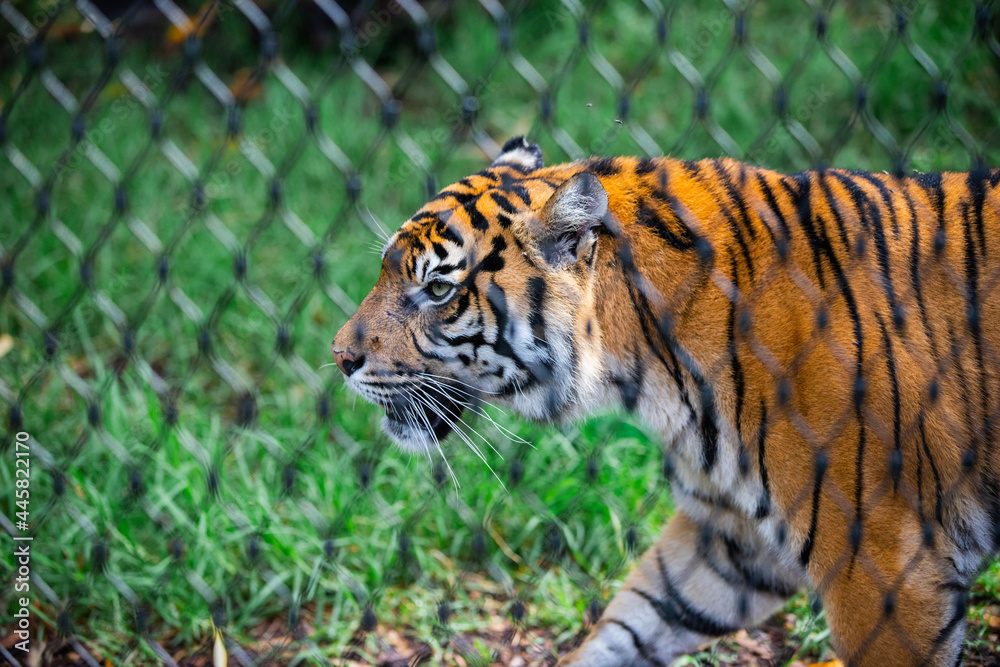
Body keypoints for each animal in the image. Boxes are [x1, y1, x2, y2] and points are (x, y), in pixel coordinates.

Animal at [331, 136, 1000, 666]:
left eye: (438, 289)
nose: (339, 357)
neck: (654, 369)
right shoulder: (731, 536)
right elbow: (636, 619)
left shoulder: (885, 568)